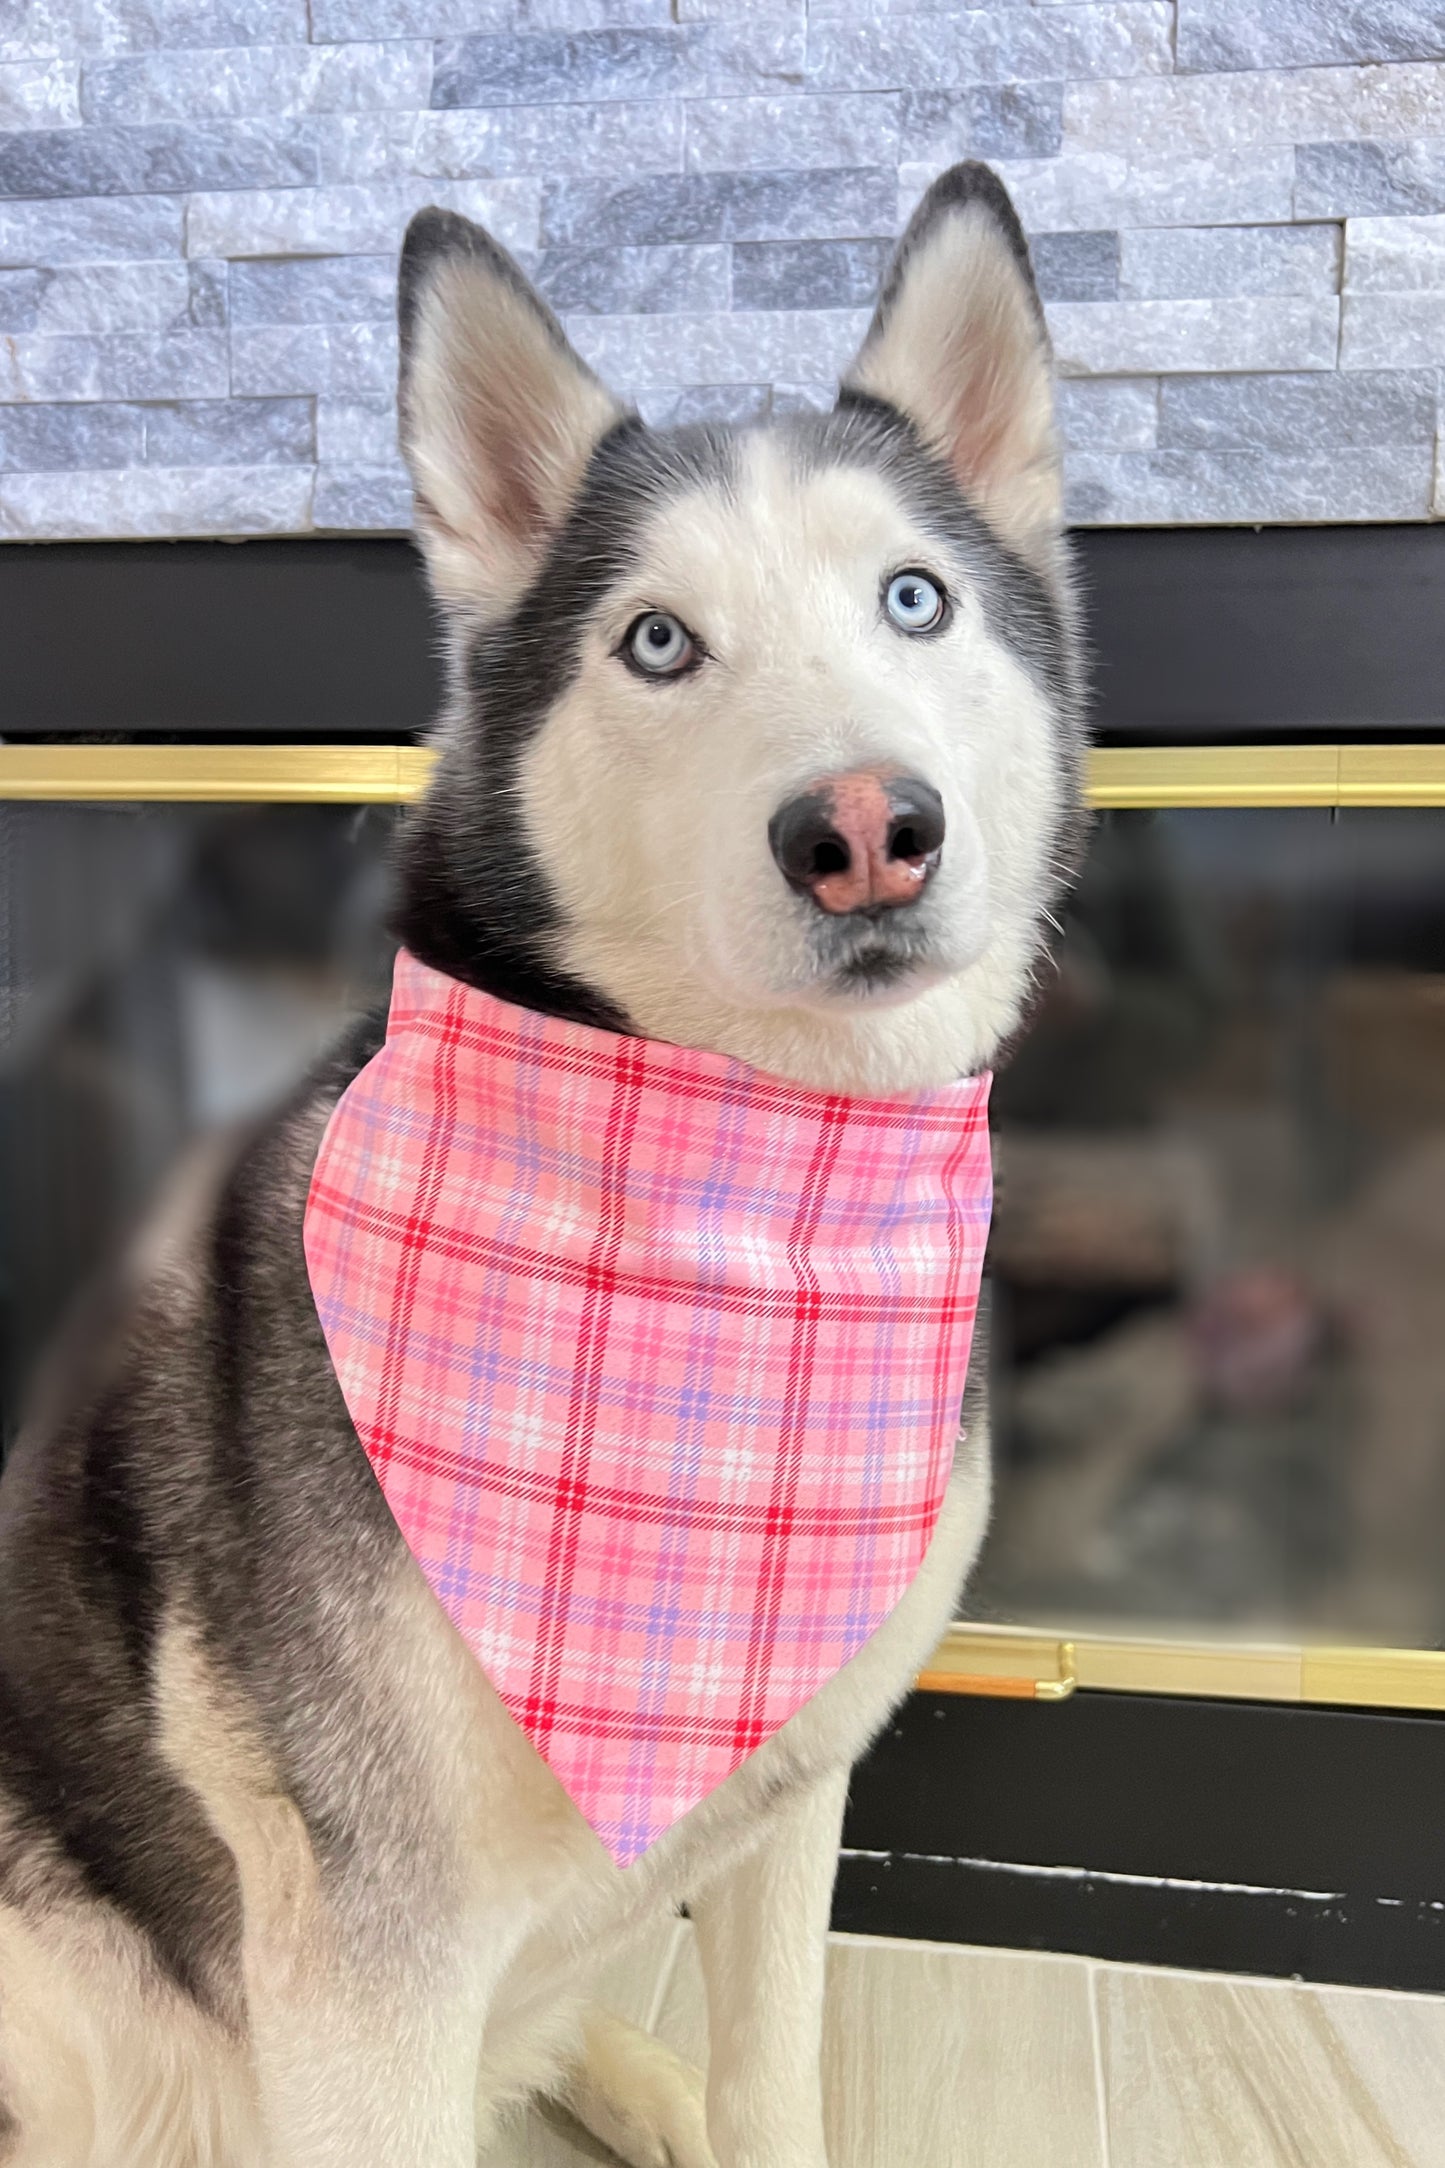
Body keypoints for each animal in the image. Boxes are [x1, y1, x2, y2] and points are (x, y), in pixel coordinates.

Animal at [0, 160, 1083, 2159]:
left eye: (915, 599)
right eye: (657, 640)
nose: (867, 829)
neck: (752, 1199)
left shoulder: (790, 1801)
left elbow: (777, 2080)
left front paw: (718, 2098)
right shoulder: (371, 1971)